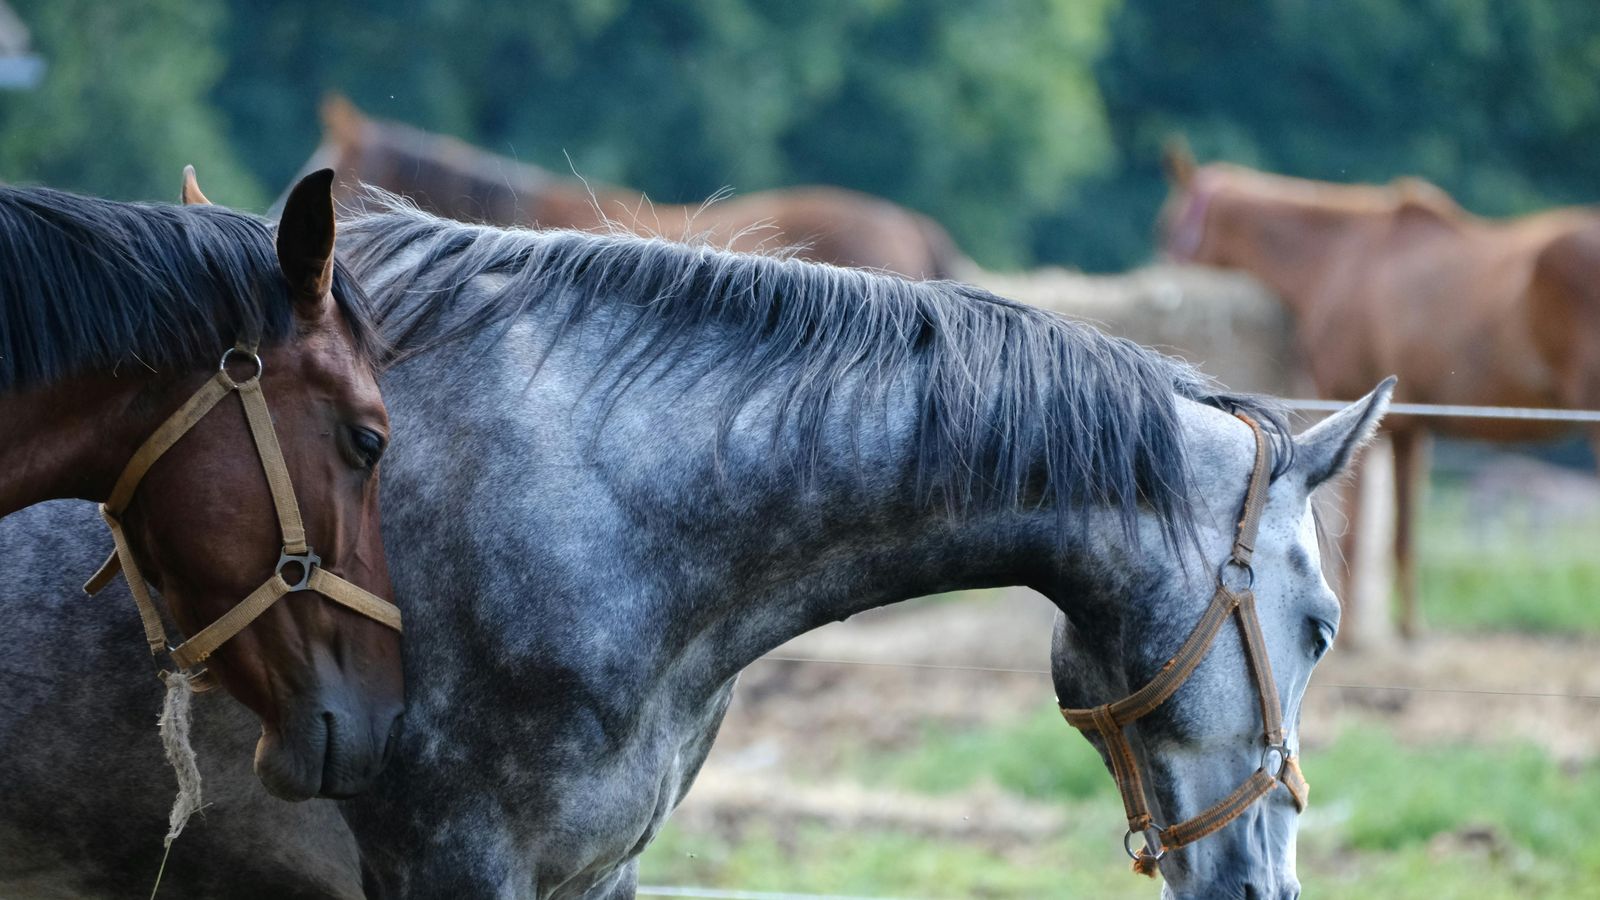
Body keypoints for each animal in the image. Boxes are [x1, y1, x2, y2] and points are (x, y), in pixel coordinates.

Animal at [1158, 148, 1600, 640]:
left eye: (1167, 225)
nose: (1159, 272)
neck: (1347, 259)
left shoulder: (1361, 414)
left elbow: (1355, 537)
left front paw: (1353, 635)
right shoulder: (1410, 429)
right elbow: (1403, 537)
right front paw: (1410, 631)